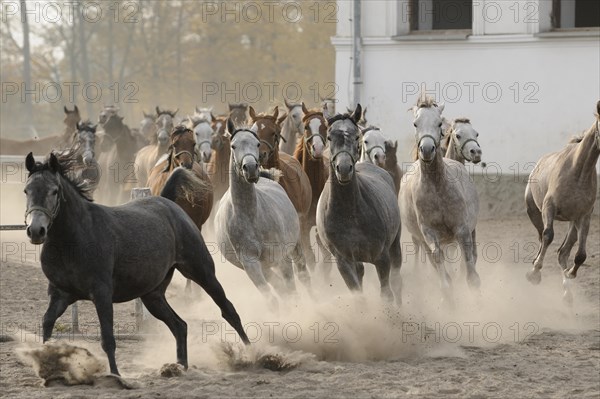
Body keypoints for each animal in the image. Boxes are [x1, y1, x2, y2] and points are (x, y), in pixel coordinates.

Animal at [23, 149, 248, 376]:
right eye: (26, 190)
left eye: (54, 191)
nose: (36, 231)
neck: (74, 239)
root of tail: (168, 203)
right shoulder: (60, 294)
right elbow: (47, 325)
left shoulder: (102, 294)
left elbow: (108, 339)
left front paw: (115, 375)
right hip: (153, 295)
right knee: (180, 325)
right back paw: (179, 366)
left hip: (201, 271)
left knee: (228, 310)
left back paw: (251, 354)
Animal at [214, 119, 310, 310]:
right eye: (233, 146)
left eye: (257, 143)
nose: (251, 168)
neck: (251, 216)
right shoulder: (251, 264)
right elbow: (273, 298)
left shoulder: (280, 256)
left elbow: (292, 289)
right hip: (265, 267)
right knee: (280, 287)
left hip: (295, 245)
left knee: (303, 275)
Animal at [314, 104, 404, 304]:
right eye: (330, 137)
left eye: (356, 136)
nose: (343, 168)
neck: (349, 211)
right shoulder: (344, 261)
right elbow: (357, 294)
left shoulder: (381, 257)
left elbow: (386, 293)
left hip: (395, 245)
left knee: (396, 281)